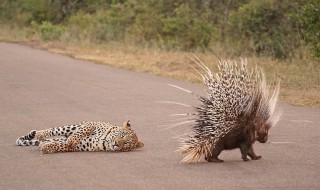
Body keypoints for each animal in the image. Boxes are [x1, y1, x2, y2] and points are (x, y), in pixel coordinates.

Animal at [15, 120, 144, 154]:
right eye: (122, 135)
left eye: (127, 144)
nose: (117, 144)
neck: (105, 141)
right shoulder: (92, 123)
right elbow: (81, 132)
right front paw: (72, 139)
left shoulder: (80, 146)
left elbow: (62, 146)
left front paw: (47, 148)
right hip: (71, 127)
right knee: (54, 130)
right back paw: (40, 134)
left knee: (52, 140)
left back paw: (44, 143)